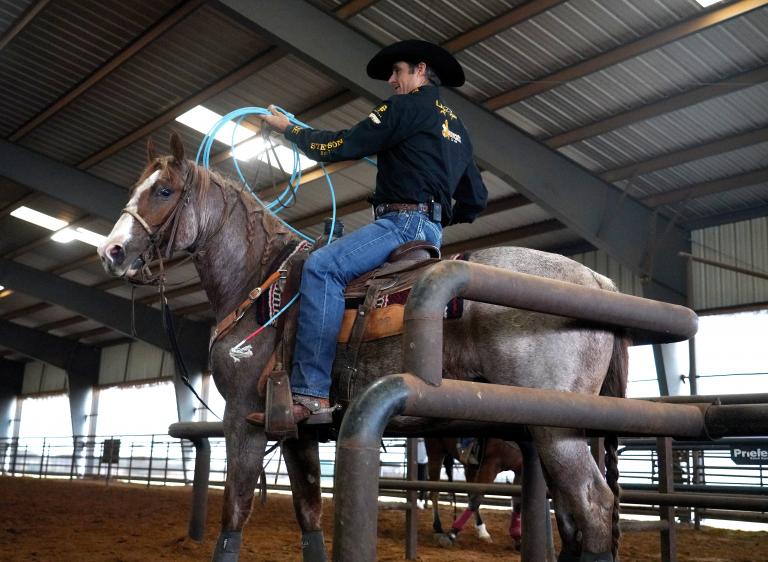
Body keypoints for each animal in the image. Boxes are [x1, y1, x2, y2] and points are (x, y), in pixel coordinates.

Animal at [100, 129, 632, 556]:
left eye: (164, 190)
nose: (111, 251)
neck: (259, 283)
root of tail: (599, 281)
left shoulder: (242, 419)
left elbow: (234, 514)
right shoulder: (297, 432)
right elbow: (309, 516)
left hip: (556, 432)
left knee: (593, 508)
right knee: (572, 519)